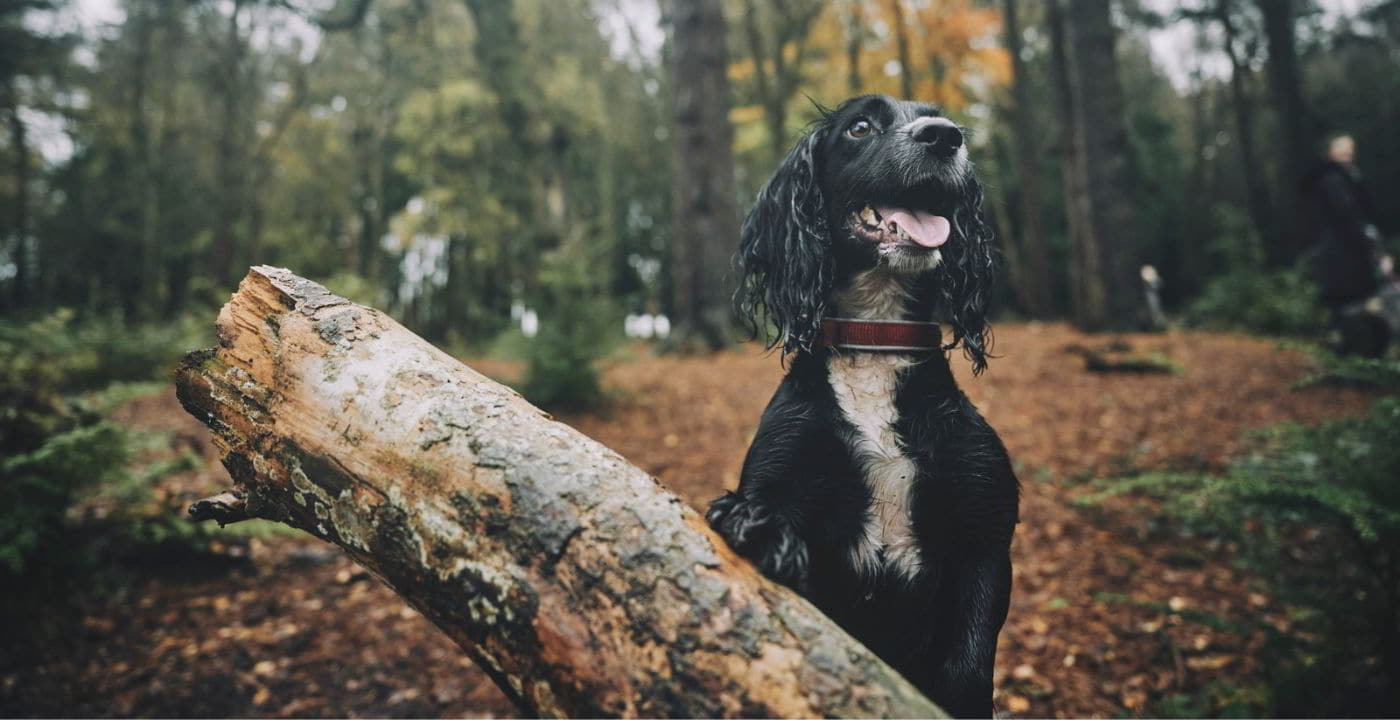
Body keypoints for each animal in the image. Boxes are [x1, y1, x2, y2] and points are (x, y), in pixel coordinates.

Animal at [711, 93, 1019, 711]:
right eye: (859, 127)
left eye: (936, 116)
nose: (945, 136)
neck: (875, 342)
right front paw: (755, 526)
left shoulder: (985, 535)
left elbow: (966, 675)